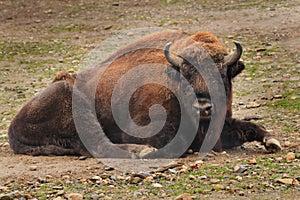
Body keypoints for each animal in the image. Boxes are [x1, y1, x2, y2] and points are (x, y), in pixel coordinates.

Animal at [7, 29, 282, 158]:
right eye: (186, 73)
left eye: (221, 73)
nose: (204, 107)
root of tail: (13, 125)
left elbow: (251, 127)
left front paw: (272, 141)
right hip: (71, 100)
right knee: (99, 144)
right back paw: (142, 151)